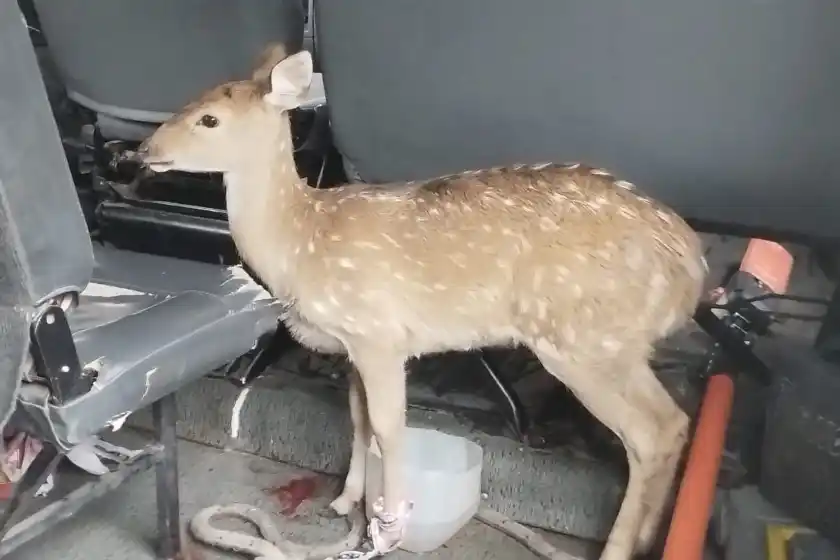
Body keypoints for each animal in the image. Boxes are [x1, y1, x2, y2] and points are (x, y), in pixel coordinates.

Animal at [137, 45, 707, 560]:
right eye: (189, 99)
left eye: (210, 118)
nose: (143, 149)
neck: (302, 243)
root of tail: (692, 267)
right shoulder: (352, 346)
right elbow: (359, 420)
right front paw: (347, 502)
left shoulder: (379, 334)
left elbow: (390, 429)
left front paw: (390, 528)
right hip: (615, 344)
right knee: (675, 423)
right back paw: (649, 537)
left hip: (582, 338)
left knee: (650, 433)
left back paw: (619, 548)